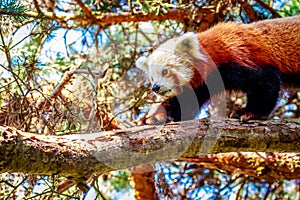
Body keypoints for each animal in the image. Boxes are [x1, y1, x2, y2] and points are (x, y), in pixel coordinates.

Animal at [137, 16, 300, 122]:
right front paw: (156, 117)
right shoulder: (203, 84)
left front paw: (250, 112)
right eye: (152, 78)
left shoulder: (243, 57)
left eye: (165, 71)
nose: (155, 87)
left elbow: (266, 82)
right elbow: (185, 103)